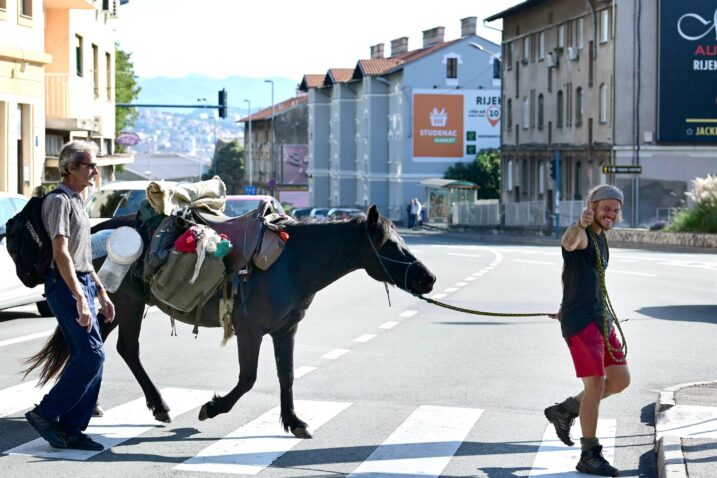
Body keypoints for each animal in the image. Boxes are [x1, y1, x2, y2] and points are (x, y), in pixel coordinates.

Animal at [23, 205, 436, 436]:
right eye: (389, 244)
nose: (428, 278)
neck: (292, 261)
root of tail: (94, 230)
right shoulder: (250, 331)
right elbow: (248, 379)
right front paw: (211, 408)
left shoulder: (285, 330)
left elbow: (286, 376)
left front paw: (294, 421)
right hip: (128, 303)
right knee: (126, 349)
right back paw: (157, 405)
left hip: (111, 306)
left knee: (102, 347)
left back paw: (95, 406)